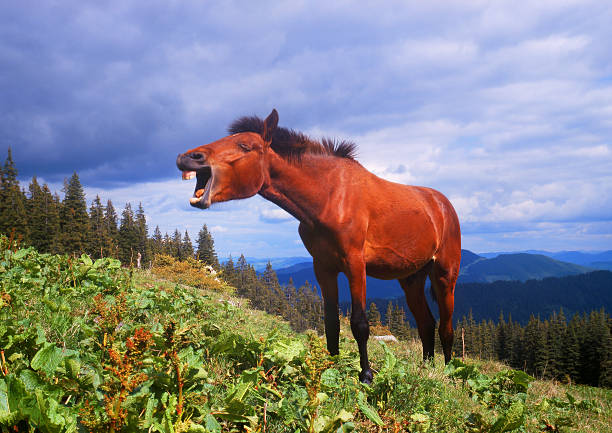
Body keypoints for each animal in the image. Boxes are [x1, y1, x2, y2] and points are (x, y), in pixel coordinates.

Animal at [176, 109, 460, 384]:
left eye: (245, 145)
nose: (187, 157)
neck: (329, 196)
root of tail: (443, 205)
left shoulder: (355, 265)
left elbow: (359, 323)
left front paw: (366, 376)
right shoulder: (324, 268)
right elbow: (331, 324)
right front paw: (331, 369)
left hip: (445, 275)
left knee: (446, 327)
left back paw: (450, 375)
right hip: (412, 278)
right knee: (426, 324)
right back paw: (426, 369)